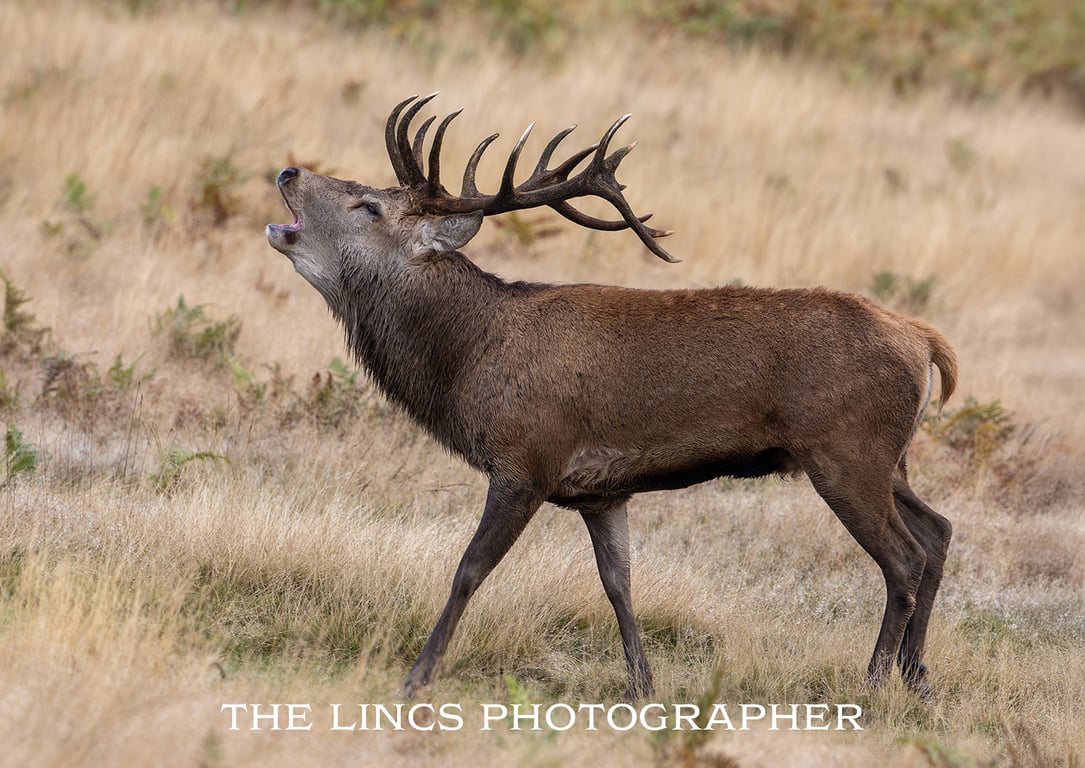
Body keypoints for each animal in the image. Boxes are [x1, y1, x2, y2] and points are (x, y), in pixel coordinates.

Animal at [266, 93, 957, 701]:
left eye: (369, 207)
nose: (288, 170)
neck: (466, 363)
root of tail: (925, 342)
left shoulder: (527, 460)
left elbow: (469, 569)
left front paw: (417, 675)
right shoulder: (601, 492)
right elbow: (619, 583)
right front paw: (642, 684)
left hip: (846, 451)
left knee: (903, 558)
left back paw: (873, 681)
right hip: (887, 458)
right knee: (939, 531)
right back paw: (918, 677)